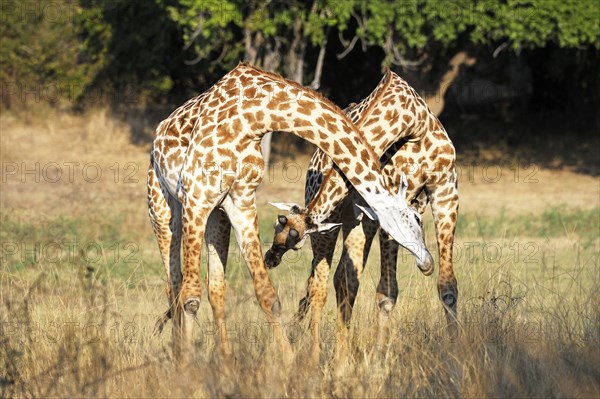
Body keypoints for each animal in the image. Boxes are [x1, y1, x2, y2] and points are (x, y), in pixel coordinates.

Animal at [148, 61, 434, 362]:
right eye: (415, 219)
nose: (428, 262)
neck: (254, 116)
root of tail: (159, 132)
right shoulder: (196, 197)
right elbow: (190, 297)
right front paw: (186, 365)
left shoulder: (240, 200)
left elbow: (267, 295)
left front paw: (289, 362)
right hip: (163, 207)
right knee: (174, 283)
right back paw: (178, 353)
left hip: (217, 215)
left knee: (213, 285)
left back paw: (223, 360)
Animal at [264, 69, 458, 362]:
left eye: (287, 238)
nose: (270, 258)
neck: (412, 124)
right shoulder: (380, 205)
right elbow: (382, 290)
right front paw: (375, 358)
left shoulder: (445, 189)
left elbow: (447, 286)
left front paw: (457, 349)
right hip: (333, 224)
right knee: (324, 285)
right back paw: (317, 356)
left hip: (350, 221)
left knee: (338, 280)